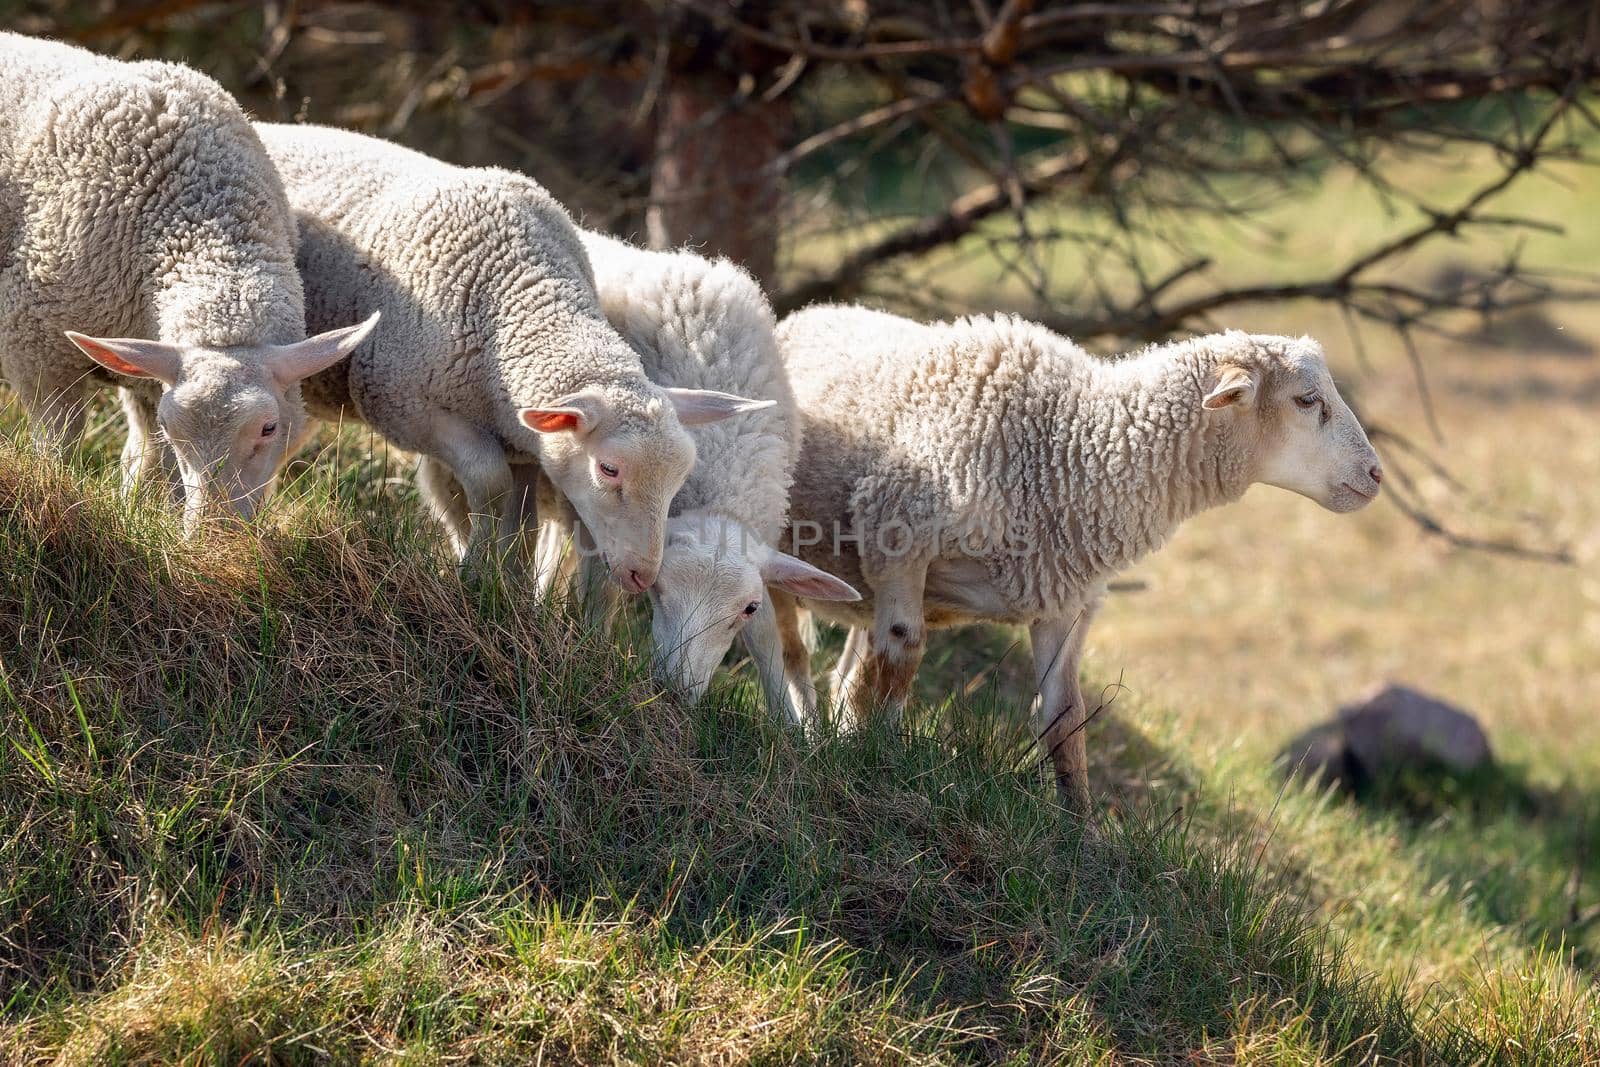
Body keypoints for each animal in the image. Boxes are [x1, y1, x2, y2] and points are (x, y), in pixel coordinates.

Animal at [0, 31, 377, 531]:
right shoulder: (36, 352)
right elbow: (58, 448)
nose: (213, 536)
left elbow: (145, 466)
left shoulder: (146, 369)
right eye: (174, 428)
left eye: (269, 428)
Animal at [251, 123, 768, 591]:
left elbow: (524, 523)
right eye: (609, 469)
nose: (642, 576)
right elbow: (490, 485)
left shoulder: (526, 446)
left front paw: (513, 590)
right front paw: (475, 575)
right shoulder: (407, 408)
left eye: (679, 478)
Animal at [556, 230, 864, 723]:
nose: (673, 694)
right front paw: (590, 652)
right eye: (658, 589)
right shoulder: (607, 521)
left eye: (747, 608)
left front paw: (789, 727)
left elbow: (768, 641)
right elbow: (599, 592)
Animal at [768, 303, 1382, 812]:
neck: (1068, 445)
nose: (1375, 475)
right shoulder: (898, 539)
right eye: (1307, 400)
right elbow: (902, 655)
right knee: (797, 652)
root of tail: (808, 312)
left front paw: (1080, 834)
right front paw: (877, 759)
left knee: (848, 665)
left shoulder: (1061, 604)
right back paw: (804, 733)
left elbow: (1067, 722)